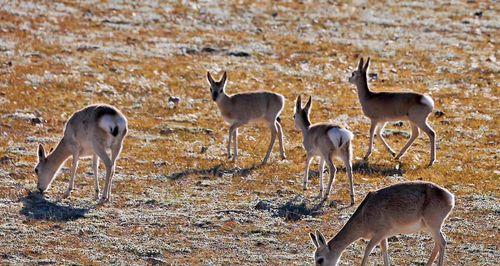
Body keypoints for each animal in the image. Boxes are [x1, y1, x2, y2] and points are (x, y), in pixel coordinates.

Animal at [308, 181, 454, 266]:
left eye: (320, 259)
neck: (364, 217)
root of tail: (450, 197)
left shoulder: (380, 233)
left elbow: (367, 250)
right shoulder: (384, 236)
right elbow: (385, 251)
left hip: (433, 226)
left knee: (442, 242)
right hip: (430, 228)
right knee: (438, 244)